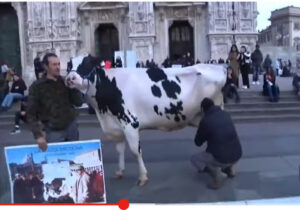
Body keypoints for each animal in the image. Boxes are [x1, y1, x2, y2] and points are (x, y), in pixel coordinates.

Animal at [65, 55, 225, 185]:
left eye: (87, 63)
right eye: (69, 64)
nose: (70, 78)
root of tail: (218, 68)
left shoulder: (130, 123)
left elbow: (136, 151)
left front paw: (142, 177)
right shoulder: (116, 126)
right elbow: (120, 150)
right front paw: (120, 171)